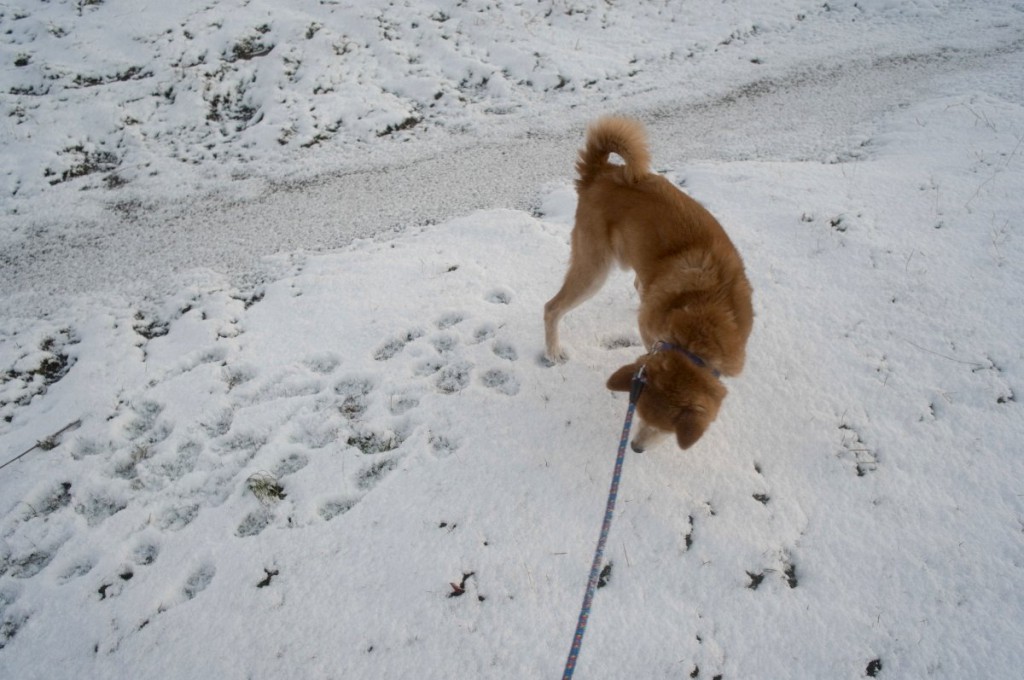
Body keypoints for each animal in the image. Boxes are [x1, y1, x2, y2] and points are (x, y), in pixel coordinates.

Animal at [544, 116, 753, 450]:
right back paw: (552, 350)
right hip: (594, 269)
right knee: (551, 308)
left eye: (666, 430)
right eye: (640, 417)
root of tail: (600, 171)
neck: (704, 317)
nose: (635, 448)